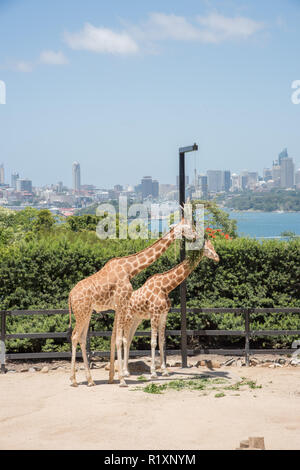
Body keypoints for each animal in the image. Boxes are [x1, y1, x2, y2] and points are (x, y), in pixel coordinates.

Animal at [69, 217, 198, 386]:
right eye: (188, 227)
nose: (196, 237)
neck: (130, 270)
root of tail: (70, 295)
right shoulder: (122, 303)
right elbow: (119, 339)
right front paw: (122, 379)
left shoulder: (118, 306)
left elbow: (116, 339)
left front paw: (114, 377)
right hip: (81, 312)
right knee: (74, 337)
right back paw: (74, 380)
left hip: (87, 312)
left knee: (82, 338)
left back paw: (90, 381)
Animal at [113, 239, 219, 382]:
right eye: (207, 248)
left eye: (213, 246)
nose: (217, 257)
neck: (165, 287)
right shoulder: (154, 314)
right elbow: (153, 342)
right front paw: (153, 372)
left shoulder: (164, 315)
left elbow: (161, 342)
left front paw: (164, 371)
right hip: (128, 318)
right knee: (124, 340)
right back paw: (124, 372)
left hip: (136, 319)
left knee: (128, 340)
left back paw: (128, 371)